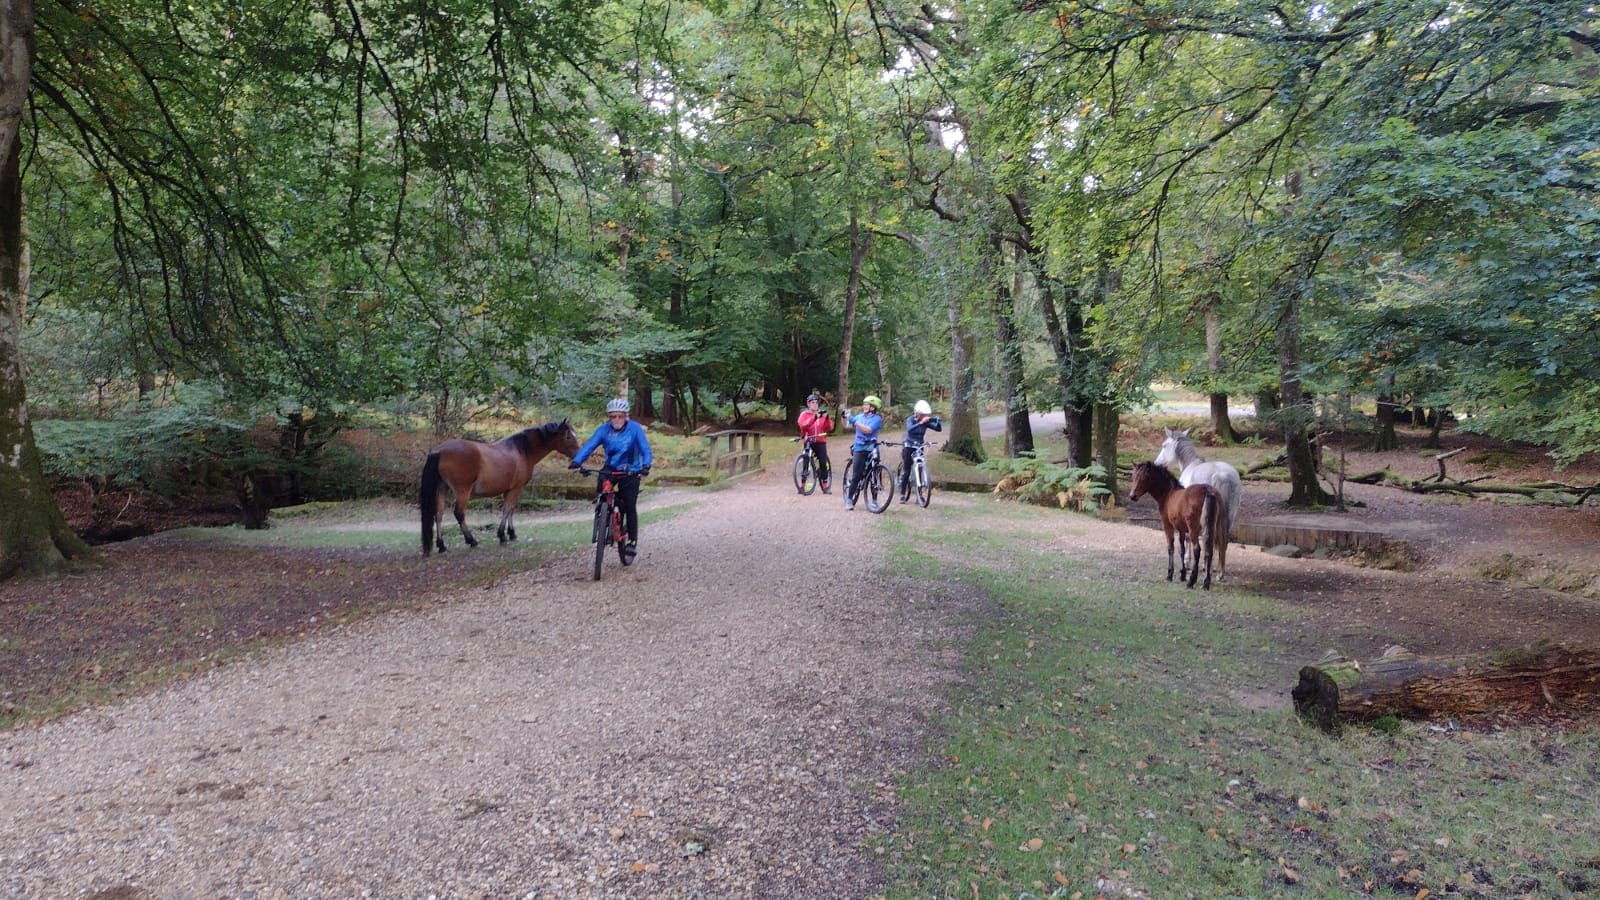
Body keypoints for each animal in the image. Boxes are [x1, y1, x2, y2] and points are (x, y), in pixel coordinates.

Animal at [420, 419, 581, 555]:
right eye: (568, 436)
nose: (578, 456)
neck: (522, 450)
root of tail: (440, 451)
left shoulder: (510, 490)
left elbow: (511, 510)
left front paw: (511, 534)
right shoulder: (516, 488)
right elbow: (507, 509)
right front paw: (503, 536)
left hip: (442, 489)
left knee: (438, 515)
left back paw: (441, 545)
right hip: (462, 491)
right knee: (459, 514)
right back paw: (471, 541)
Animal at [1129, 461, 1223, 590]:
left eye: (1144, 478)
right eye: (1133, 477)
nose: (1132, 496)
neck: (1168, 494)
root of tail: (1207, 490)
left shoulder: (1167, 525)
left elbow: (1171, 547)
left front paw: (1170, 574)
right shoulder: (1181, 529)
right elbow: (1182, 549)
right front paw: (1182, 575)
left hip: (1194, 529)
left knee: (1197, 549)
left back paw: (1191, 582)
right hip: (1212, 528)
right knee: (1209, 551)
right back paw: (1206, 583)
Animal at [1152, 427, 1242, 581]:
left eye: (1164, 445)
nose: (1157, 463)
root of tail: (1222, 475)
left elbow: (1188, 538)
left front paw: (1187, 562)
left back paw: (1207, 568)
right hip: (1228, 516)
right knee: (1222, 541)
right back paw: (1219, 571)